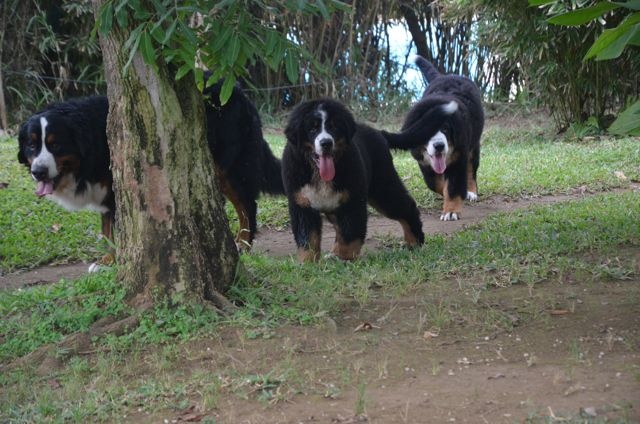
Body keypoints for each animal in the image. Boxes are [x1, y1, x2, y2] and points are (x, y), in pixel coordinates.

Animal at [282, 97, 458, 262]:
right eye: (312, 129)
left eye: (334, 127)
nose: (326, 143)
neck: (319, 174)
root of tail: (379, 132)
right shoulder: (302, 204)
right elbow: (308, 238)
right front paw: (308, 262)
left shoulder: (353, 201)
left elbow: (350, 234)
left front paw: (345, 259)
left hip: (382, 189)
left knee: (407, 207)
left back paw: (415, 242)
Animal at [404, 55, 484, 222]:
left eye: (446, 129)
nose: (439, 145)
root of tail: (445, 76)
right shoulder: (424, 162)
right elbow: (435, 183)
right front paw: (446, 193)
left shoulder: (459, 157)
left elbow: (453, 186)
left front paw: (451, 211)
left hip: (473, 146)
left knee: (471, 170)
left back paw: (471, 192)